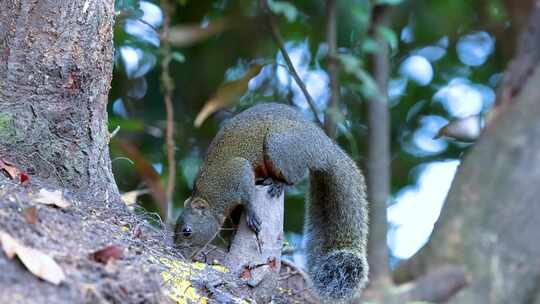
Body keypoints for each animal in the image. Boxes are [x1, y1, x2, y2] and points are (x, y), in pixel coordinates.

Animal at [175, 101, 370, 300]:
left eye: (187, 231)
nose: (178, 253)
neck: (211, 195)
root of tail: (324, 148)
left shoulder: (239, 172)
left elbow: (248, 197)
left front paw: (252, 216)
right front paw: (232, 238)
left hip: (278, 146)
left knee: (295, 177)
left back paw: (277, 183)